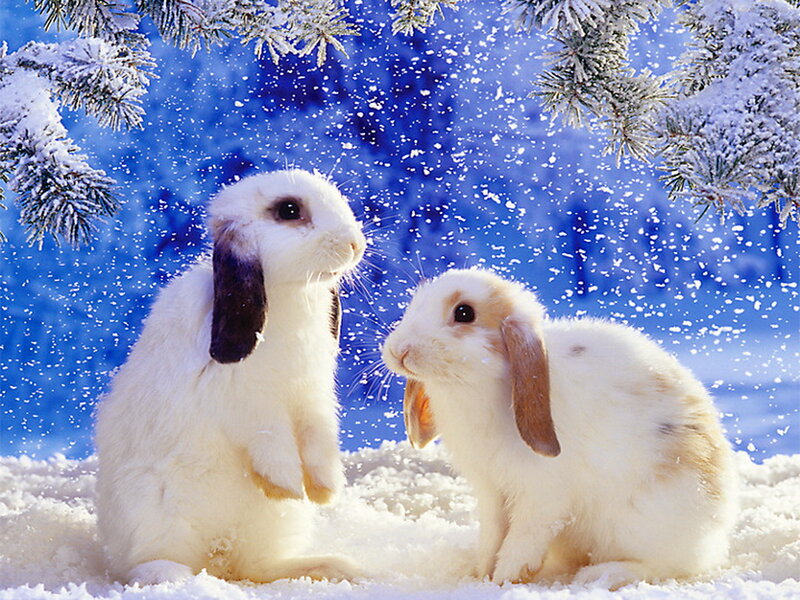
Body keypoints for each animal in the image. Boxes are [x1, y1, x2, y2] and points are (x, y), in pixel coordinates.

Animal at [95, 169, 366, 585]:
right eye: (289, 210)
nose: (355, 244)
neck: (287, 295)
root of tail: (218, 555)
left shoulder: (312, 395)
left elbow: (319, 438)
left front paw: (323, 489)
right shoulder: (250, 401)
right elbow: (273, 439)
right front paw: (286, 484)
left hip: (274, 528)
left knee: (259, 567)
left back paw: (334, 567)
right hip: (152, 511)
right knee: (146, 563)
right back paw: (179, 578)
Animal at [382, 268, 738, 589]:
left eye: (464, 313)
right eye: (414, 304)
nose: (399, 350)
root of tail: (717, 534)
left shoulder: (542, 495)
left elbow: (522, 539)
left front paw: (505, 578)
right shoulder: (491, 491)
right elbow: (492, 537)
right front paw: (481, 574)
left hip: (644, 523)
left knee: (669, 565)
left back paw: (604, 575)